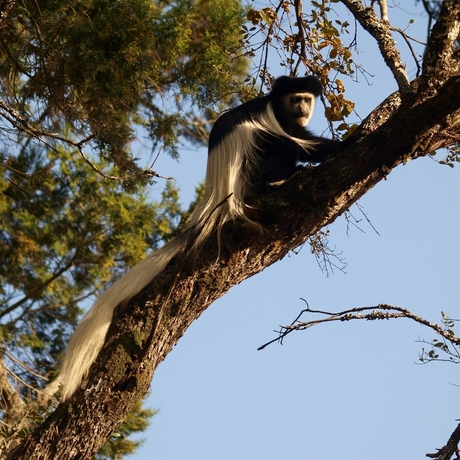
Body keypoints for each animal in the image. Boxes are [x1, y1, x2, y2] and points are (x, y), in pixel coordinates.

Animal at [46, 74, 346, 398]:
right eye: (295, 99)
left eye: (306, 99)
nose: (302, 108)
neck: (276, 103)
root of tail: (217, 199)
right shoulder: (281, 118)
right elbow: (304, 144)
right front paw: (345, 143)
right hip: (250, 170)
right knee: (276, 145)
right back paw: (278, 180)